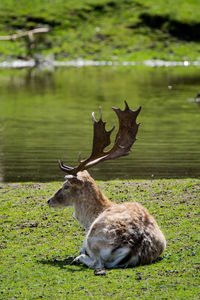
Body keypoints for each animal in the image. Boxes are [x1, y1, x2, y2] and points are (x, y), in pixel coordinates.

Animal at [47, 101, 166, 274]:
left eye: (66, 185)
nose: (49, 200)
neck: (90, 218)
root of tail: (135, 246)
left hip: (94, 239)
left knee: (98, 264)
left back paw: (79, 258)